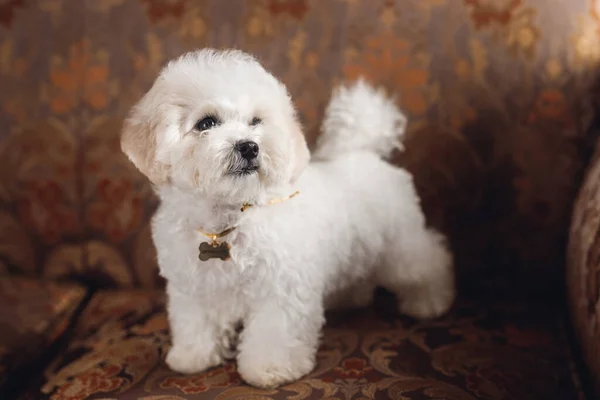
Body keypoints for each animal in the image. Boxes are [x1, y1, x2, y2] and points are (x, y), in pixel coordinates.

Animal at [122, 47, 454, 388]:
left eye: (255, 122)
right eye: (206, 123)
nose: (249, 146)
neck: (228, 217)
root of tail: (362, 152)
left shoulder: (281, 288)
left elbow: (274, 333)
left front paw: (271, 368)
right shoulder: (193, 288)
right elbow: (195, 323)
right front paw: (193, 356)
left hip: (401, 245)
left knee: (429, 261)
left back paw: (430, 302)